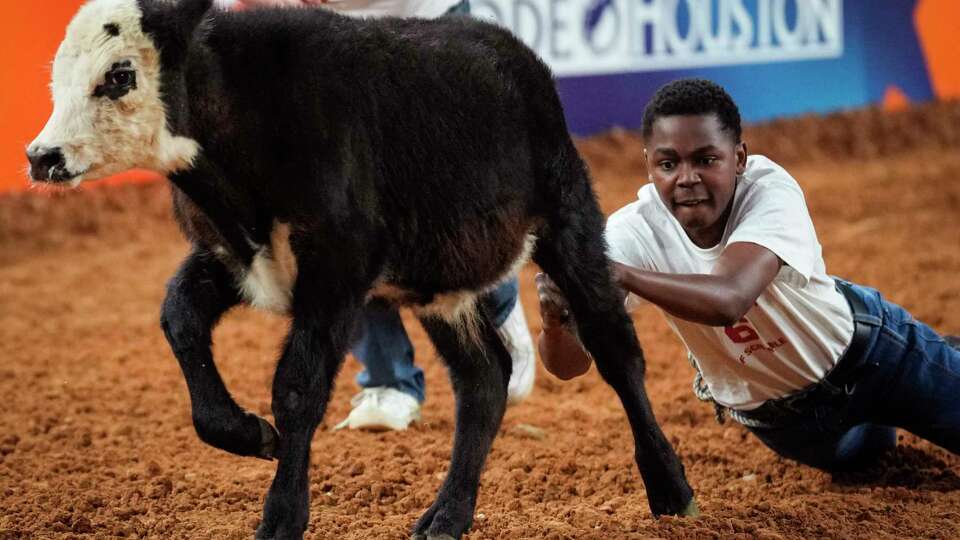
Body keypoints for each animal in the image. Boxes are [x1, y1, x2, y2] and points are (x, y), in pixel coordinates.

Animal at [26, 0, 696, 537]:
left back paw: (670, 487)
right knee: (484, 378)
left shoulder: (336, 270)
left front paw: (281, 517)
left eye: (119, 75)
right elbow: (180, 321)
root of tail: (512, 53)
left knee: (616, 351)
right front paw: (249, 434)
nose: (40, 156)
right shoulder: (231, 256)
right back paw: (447, 516)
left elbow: (297, 388)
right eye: (58, 76)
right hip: (438, 283)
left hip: (568, 220)